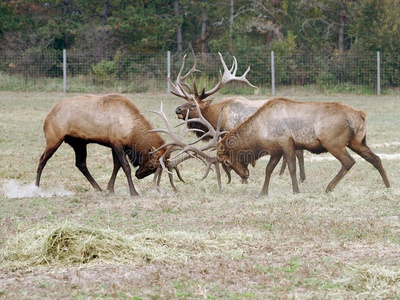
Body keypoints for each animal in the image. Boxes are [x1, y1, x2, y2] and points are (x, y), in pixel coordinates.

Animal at [35, 94, 168, 197]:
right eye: (152, 166)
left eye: (155, 168)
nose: (138, 175)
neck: (131, 131)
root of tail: (47, 116)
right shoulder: (117, 143)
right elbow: (126, 167)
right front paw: (134, 192)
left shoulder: (115, 145)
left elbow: (117, 165)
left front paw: (110, 189)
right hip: (53, 139)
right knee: (42, 160)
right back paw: (36, 188)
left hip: (79, 143)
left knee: (80, 163)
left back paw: (99, 188)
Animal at [170, 52, 306, 182]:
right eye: (186, 101)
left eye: (194, 105)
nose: (177, 109)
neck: (218, 119)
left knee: (298, 152)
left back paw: (301, 177)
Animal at [216, 96, 390, 195]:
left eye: (227, 161)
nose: (244, 175)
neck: (260, 133)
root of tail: (360, 114)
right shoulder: (276, 149)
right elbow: (269, 169)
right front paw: (263, 192)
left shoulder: (286, 141)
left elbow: (292, 167)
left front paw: (296, 190)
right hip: (357, 142)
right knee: (375, 158)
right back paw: (388, 185)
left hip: (333, 142)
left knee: (349, 161)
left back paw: (329, 187)